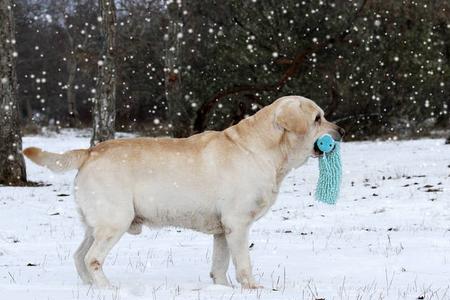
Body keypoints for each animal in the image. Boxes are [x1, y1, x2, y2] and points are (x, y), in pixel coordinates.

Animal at [23, 95, 344, 288]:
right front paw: (253, 288)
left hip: (96, 223)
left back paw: (91, 288)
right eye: (317, 118)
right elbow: (243, 263)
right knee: (92, 258)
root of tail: (90, 151)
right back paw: (109, 289)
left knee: (79, 256)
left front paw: (222, 289)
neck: (262, 150)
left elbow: (219, 265)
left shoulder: (222, 230)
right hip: (115, 220)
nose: (341, 132)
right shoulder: (238, 224)